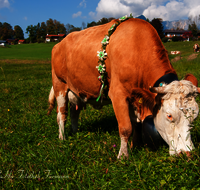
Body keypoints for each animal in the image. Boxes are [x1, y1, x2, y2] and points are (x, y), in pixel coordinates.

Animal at [47, 18, 200, 160]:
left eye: (195, 117)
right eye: (169, 115)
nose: (187, 153)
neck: (138, 49)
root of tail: (59, 43)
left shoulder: (135, 96)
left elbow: (136, 124)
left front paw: (135, 146)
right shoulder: (118, 93)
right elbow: (126, 127)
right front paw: (123, 156)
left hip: (76, 91)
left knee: (74, 112)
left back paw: (75, 132)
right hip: (59, 85)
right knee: (62, 114)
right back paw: (62, 138)